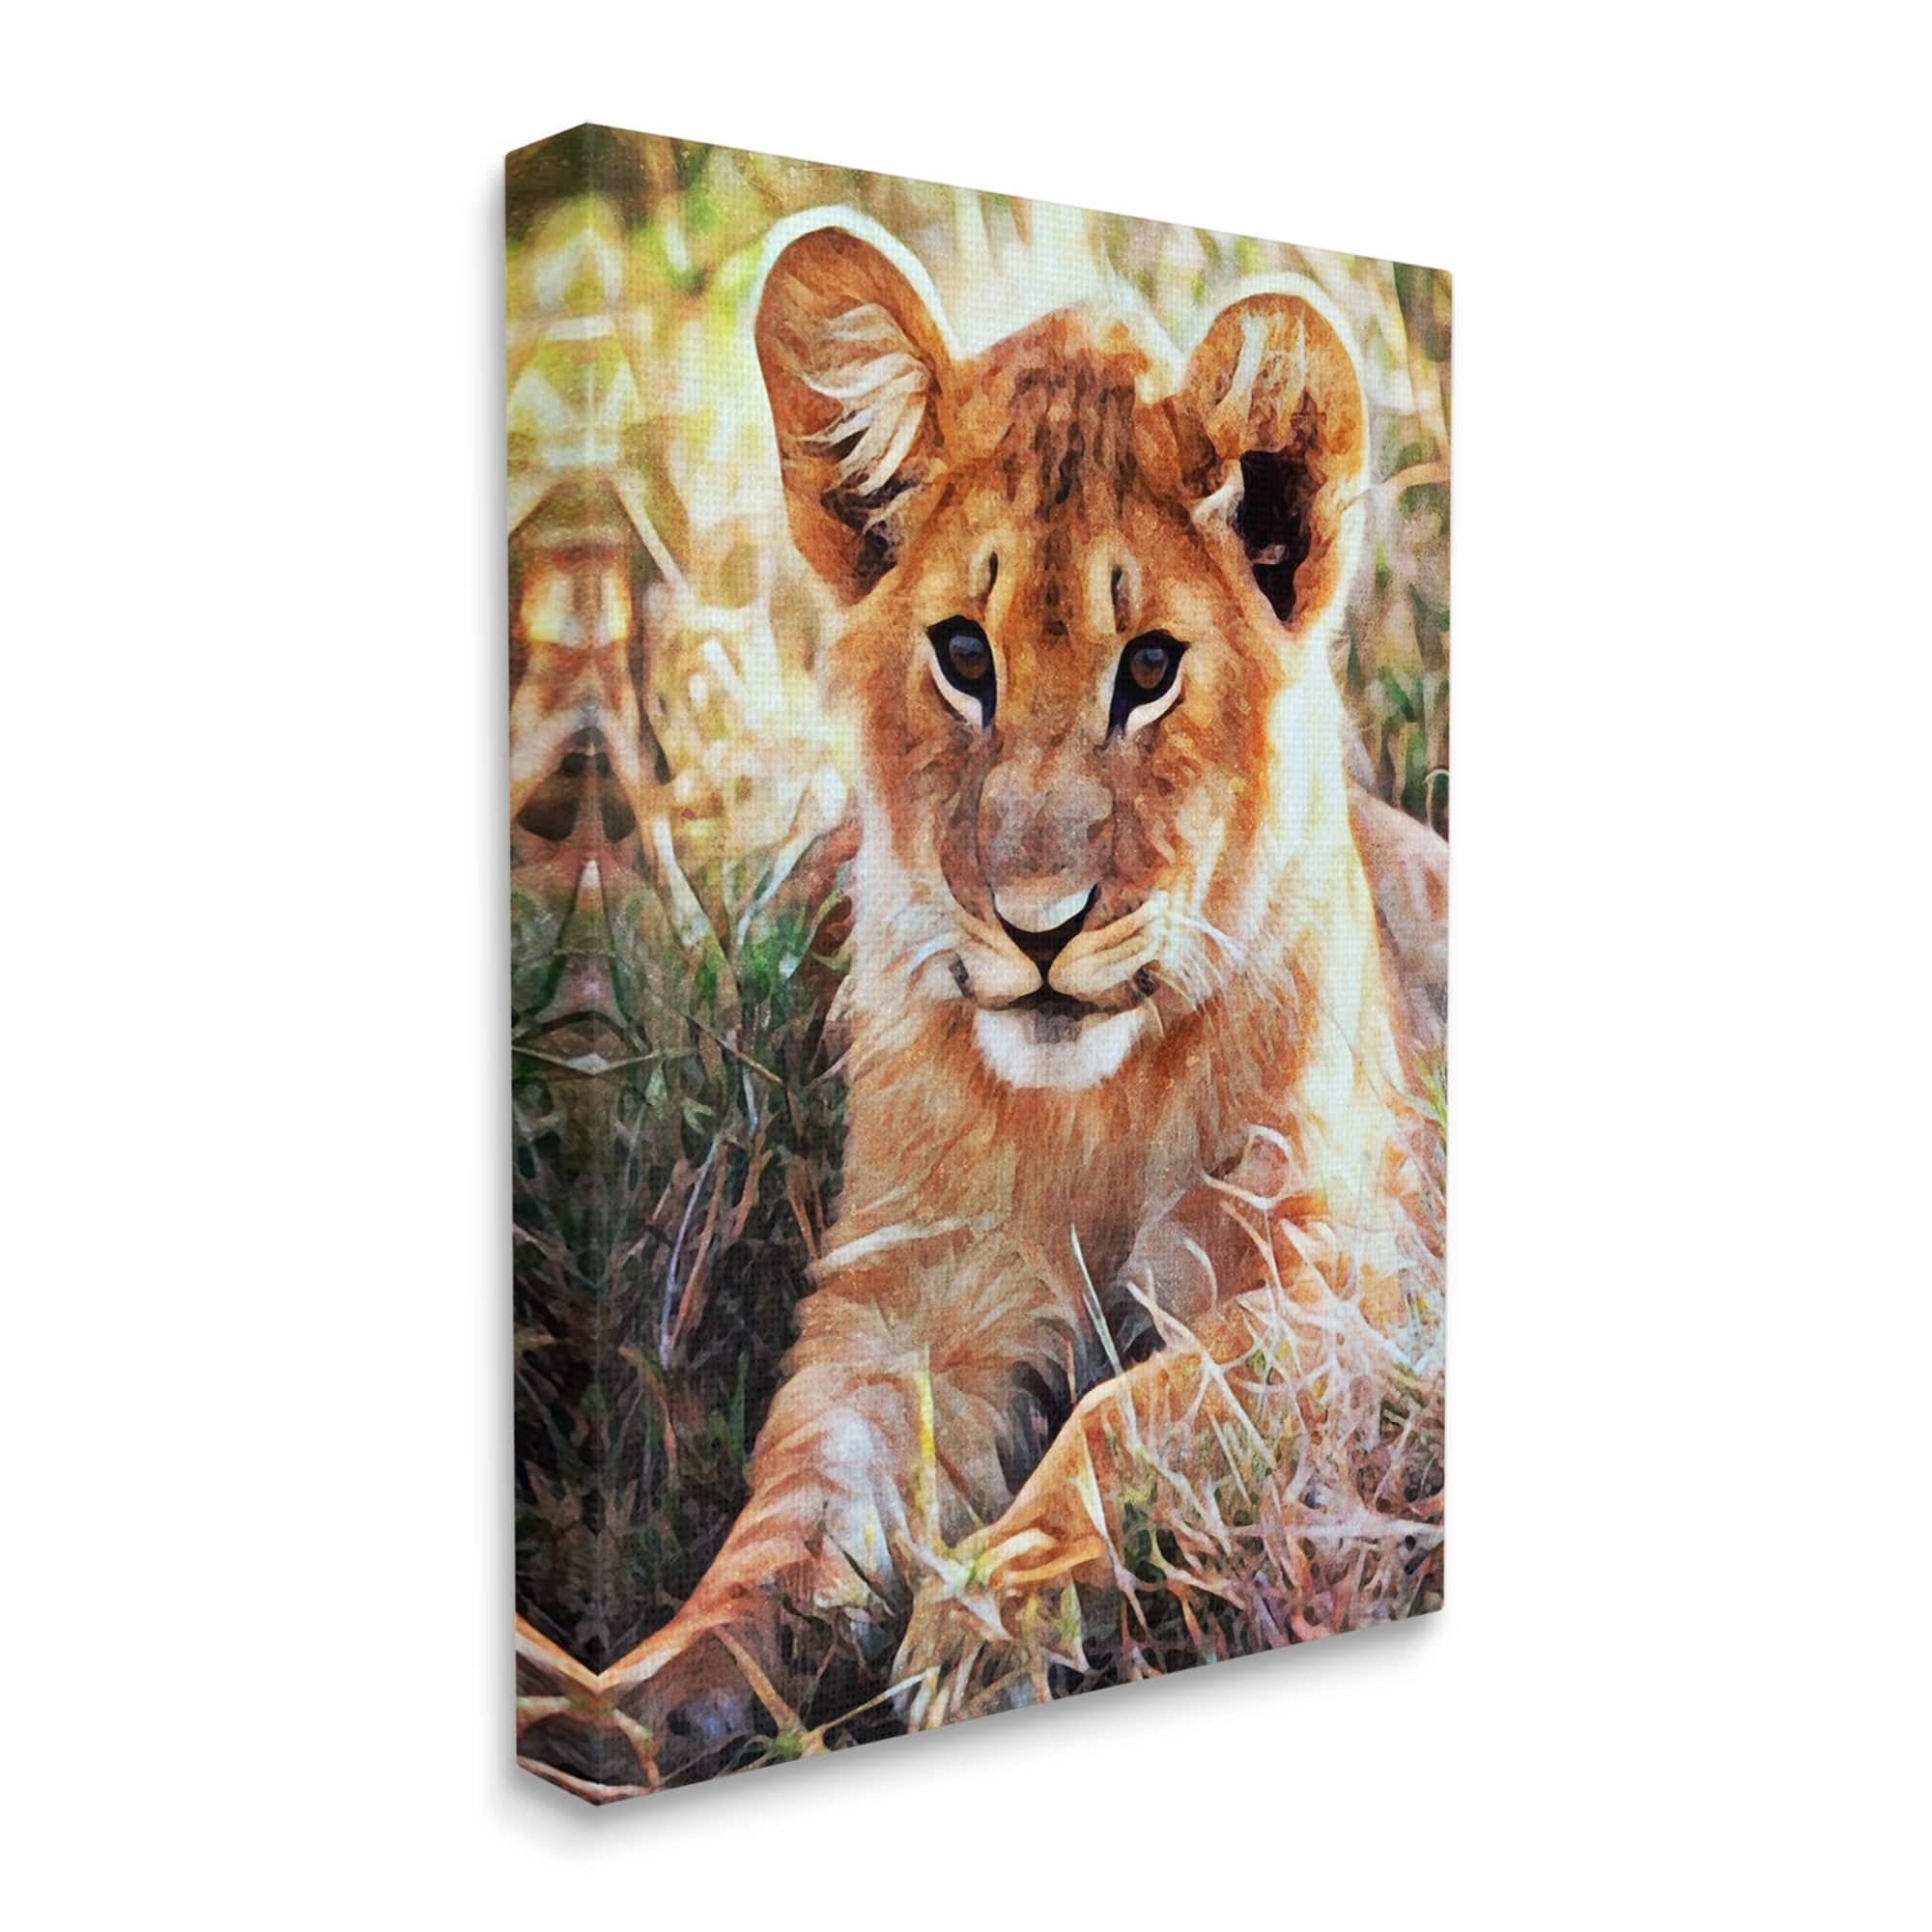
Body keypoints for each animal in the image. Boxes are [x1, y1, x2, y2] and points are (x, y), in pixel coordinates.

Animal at [517, 223, 1440, 1790]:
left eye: (1150, 668)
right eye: (963, 655)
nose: (1039, 929)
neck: (1093, 1110)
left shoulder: (1346, 1289)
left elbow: (1128, 1416)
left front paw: (986, 1623)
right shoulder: (901, 1308)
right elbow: (786, 1530)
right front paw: (622, 1702)